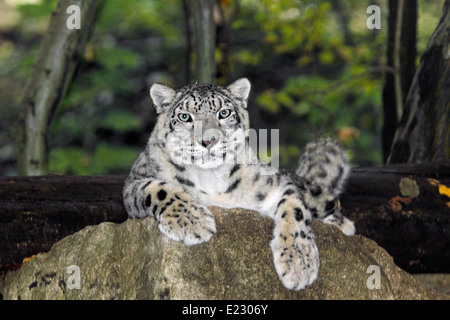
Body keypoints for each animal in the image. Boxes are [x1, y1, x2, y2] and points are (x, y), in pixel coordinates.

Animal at [123, 78, 356, 290]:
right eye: (184, 117)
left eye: (224, 113)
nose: (208, 141)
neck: (211, 179)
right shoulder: (134, 183)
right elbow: (159, 189)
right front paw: (193, 222)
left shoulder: (275, 183)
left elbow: (295, 208)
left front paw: (299, 262)